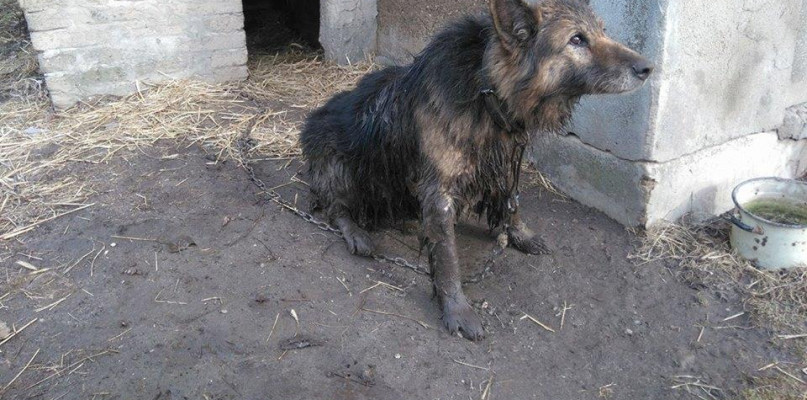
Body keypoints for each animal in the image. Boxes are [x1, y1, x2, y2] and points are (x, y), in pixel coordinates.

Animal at [300, 0, 652, 340]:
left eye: (603, 32)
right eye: (577, 39)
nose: (648, 68)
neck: (485, 91)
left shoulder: (507, 164)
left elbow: (512, 206)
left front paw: (519, 234)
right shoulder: (439, 193)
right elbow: (447, 259)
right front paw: (457, 309)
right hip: (341, 167)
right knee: (335, 207)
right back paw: (355, 232)